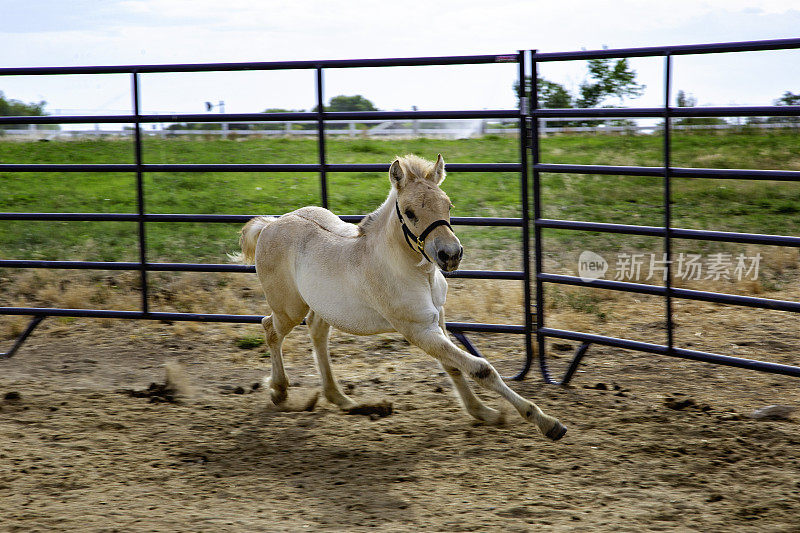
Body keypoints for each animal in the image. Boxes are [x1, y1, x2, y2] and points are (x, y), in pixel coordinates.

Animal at [234, 154, 564, 440]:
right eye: (409, 212)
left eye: (448, 205)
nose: (450, 255)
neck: (416, 273)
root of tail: (270, 224)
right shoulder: (417, 330)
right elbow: (479, 368)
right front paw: (546, 422)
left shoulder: (437, 321)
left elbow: (454, 366)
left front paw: (484, 413)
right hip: (289, 308)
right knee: (269, 328)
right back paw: (280, 392)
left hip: (321, 308)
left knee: (316, 332)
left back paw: (343, 400)